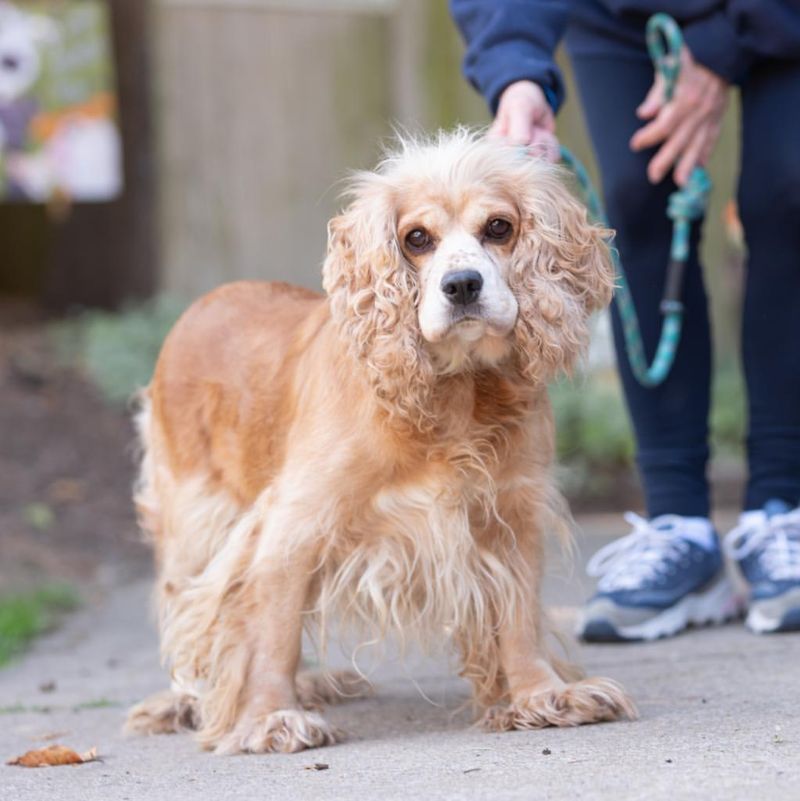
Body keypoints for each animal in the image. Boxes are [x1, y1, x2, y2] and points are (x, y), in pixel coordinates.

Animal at [125, 130, 636, 752]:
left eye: (499, 227)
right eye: (417, 238)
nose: (462, 285)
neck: (454, 396)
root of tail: (203, 304)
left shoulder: (511, 510)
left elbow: (518, 618)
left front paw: (540, 695)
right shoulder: (292, 526)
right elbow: (272, 629)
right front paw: (271, 716)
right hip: (193, 518)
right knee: (183, 607)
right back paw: (185, 700)